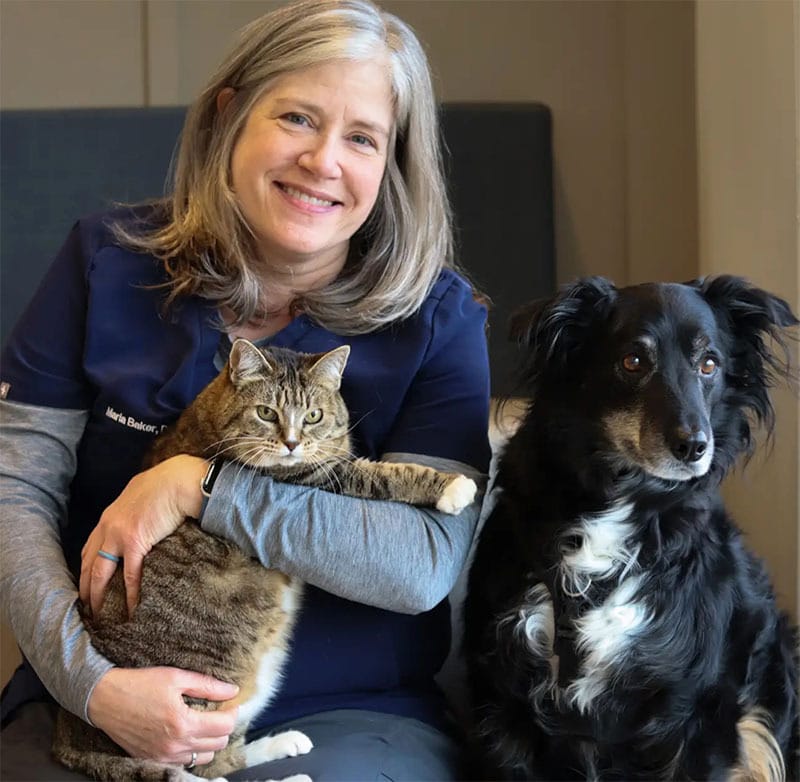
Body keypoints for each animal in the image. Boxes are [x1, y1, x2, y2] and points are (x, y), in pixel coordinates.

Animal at [53, 339, 478, 782]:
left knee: (229, 754)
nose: (291, 443)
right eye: (266, 413)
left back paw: (284, 744)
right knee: (207, 768)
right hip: (204, 695)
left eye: (313, 415)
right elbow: (383, 475)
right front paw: (453, 487)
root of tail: (68, 738)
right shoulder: (318, 479)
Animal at [463, 275, 799, 781]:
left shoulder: (696, 714)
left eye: (709, 364)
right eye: (633, 361)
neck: (619, 506)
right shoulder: (505, 706)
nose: (695, 446)